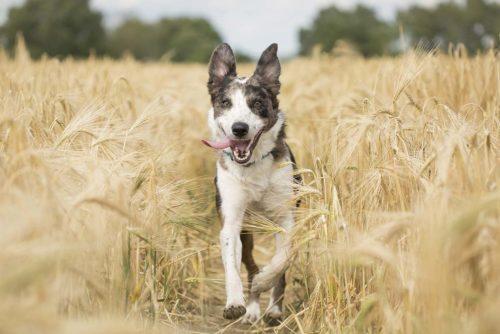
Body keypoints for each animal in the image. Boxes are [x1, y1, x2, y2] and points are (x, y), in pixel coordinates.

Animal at [202, 43, 300, 324]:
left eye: (257, 103)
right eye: (225, 102)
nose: (239, 128)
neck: (253, 165)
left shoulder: (286, 218)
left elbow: (281, 261)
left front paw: (265, 282)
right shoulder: (232, 221)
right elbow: (232, 266)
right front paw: (235, 303)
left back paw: (273, 309)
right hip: (247, 232)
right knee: (249, 264)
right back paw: (253, 309)